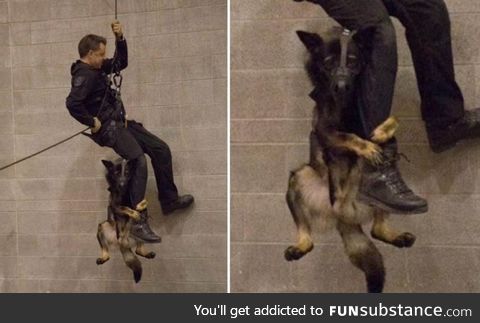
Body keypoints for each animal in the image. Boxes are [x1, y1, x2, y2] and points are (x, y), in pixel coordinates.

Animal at [284, 29, 416, 294]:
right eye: (329, 63)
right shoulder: (326, 131)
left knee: (377, 229)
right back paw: (299, 247)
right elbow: (349, 136)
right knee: (308, 236)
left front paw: (383, 133)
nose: (342, 86)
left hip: (377, 196)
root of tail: (342, 214)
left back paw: (396, 236)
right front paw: (367, 146)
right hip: (300, 178)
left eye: (353, 62)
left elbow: (393, 117)